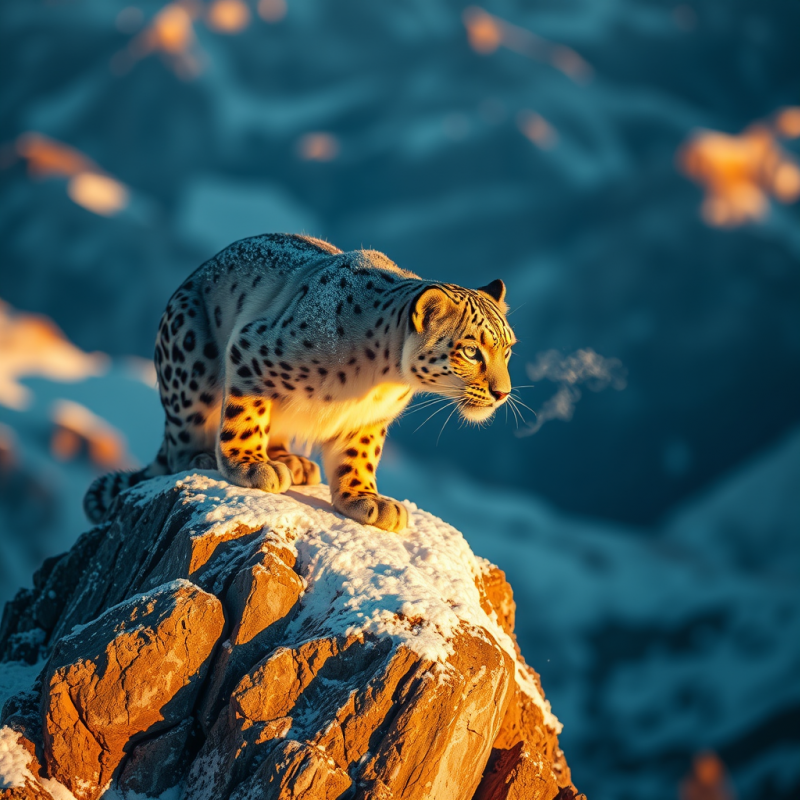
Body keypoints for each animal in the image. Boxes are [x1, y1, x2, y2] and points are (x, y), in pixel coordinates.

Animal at [84, 233, 515, 532]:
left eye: (508, 348)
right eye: (472, 351)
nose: (502, 393)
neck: (381, 382)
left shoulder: (369, 420)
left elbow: (358, 457)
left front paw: (366, 500)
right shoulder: (252, 352)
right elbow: (245, 415)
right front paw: (249, 466)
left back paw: (291, 461)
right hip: (190, 359)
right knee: (178, 447)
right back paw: (207, 458)